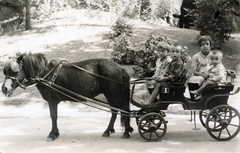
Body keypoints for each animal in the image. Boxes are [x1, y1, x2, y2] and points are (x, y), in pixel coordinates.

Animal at [1, 53, 133, 141]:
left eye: (15, 70)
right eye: (6, 71)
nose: (4, 88)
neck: (46, 74)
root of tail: (120, 67)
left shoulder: (52, 101)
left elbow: (53, 116)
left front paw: (53, 134)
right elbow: (54, 116)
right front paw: (55, 133)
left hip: (113, 93)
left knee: (122, 109)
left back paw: (125, 132)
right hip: (111, 94)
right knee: (116, 110)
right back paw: (110, 130)